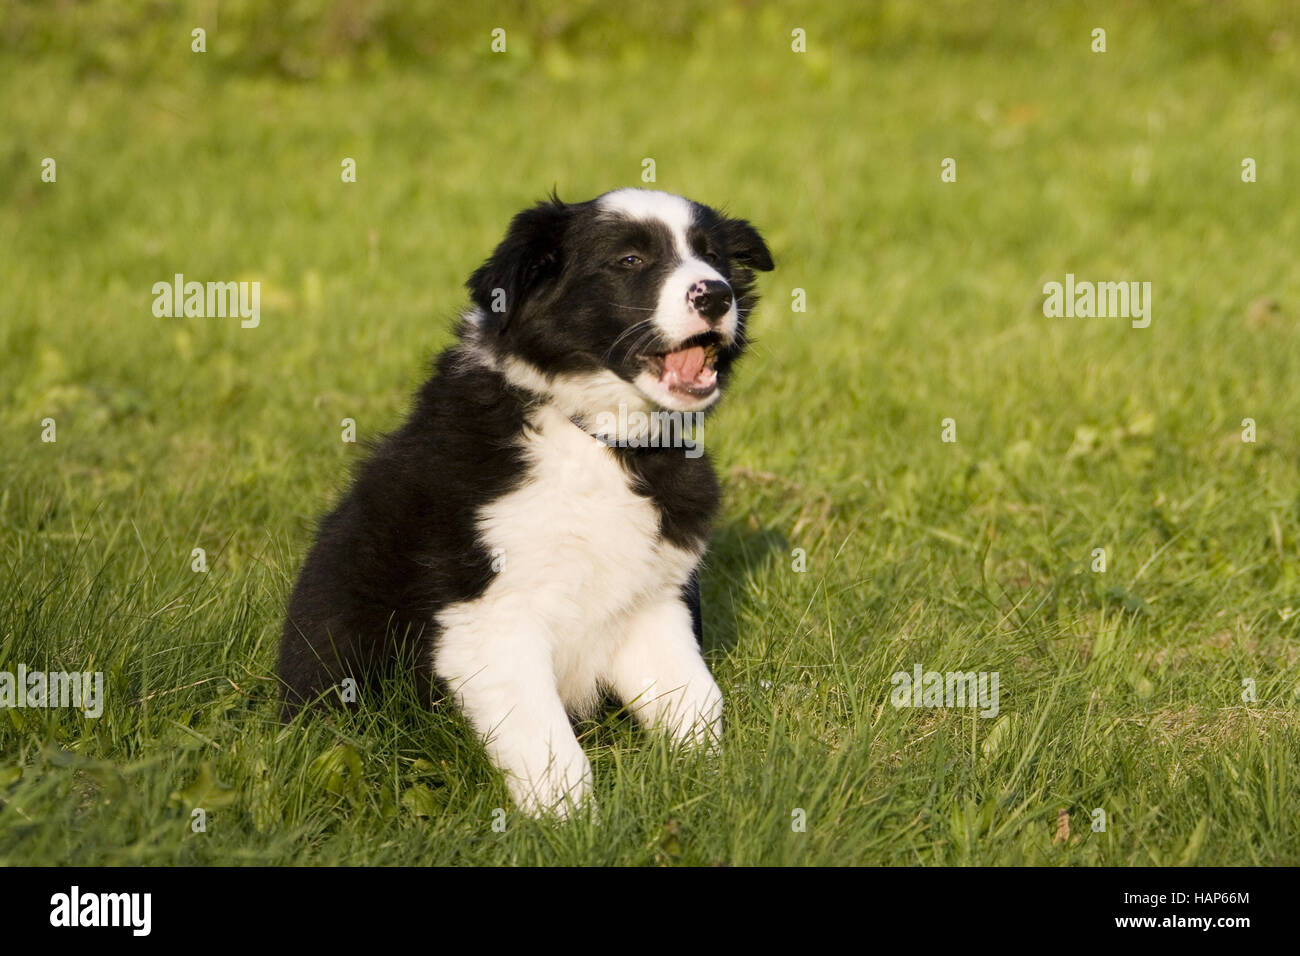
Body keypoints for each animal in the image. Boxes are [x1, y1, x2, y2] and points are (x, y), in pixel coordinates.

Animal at [279, 187, 769, 816]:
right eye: (630, 260)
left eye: (712, 257)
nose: (716, 293)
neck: (598, 441)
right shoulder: (491, 614)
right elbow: (548, 743)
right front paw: (573, 823)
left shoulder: (651, 599)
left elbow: (697, 700)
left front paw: (715, 788)